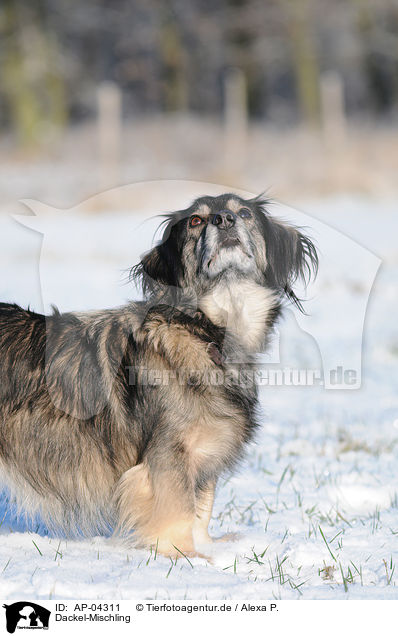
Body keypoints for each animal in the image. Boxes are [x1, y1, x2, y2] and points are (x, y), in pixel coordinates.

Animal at [0, 193, 318, 556]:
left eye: (244, 213)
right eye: (196, 221)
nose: (224, 220)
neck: (205, 331)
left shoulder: (204, 457)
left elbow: (202, 507)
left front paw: (208, 547)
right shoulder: (167, 455)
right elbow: (178, 509)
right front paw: (186, 556)